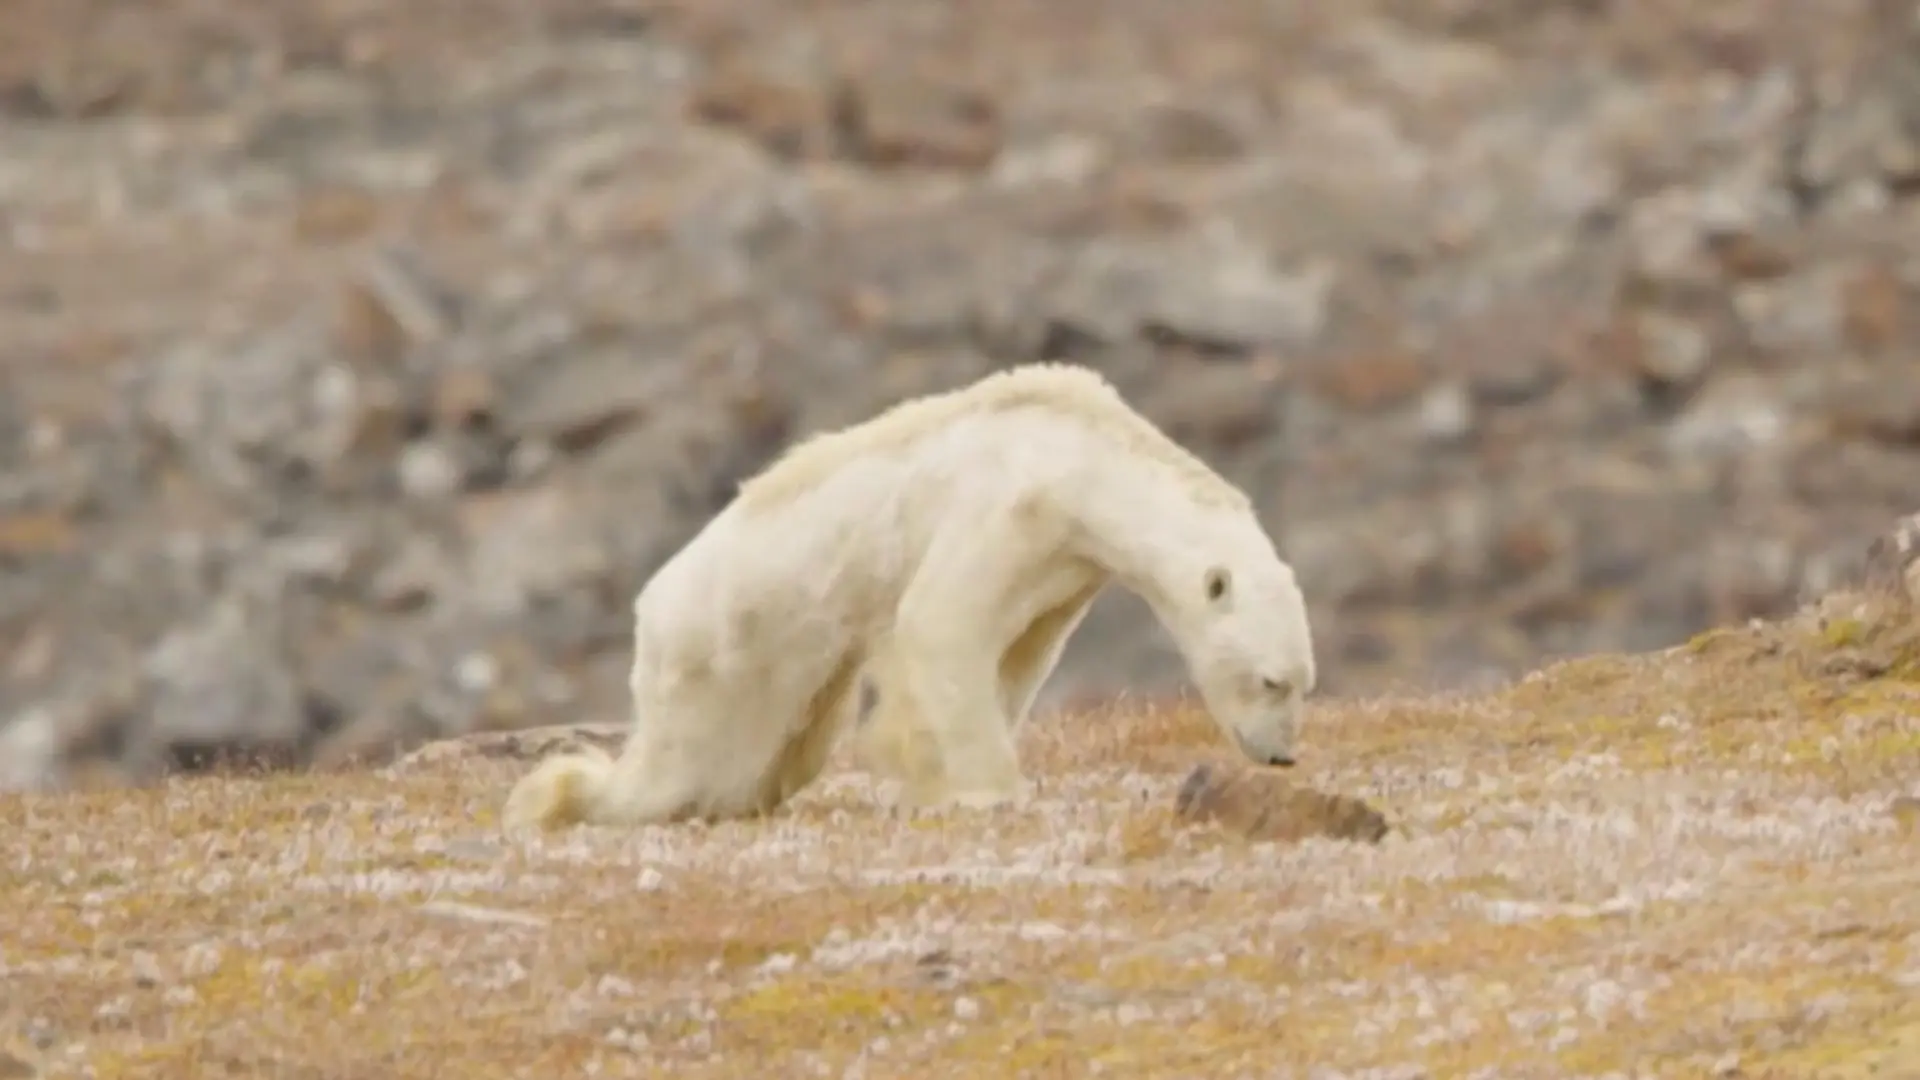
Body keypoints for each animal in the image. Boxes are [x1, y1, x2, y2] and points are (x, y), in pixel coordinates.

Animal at [500, 362, 1317, 830]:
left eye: (1303, 683)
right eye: (1271, 680)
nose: (1281, 757)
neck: (1082, 457)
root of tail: (651, 607)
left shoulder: (1064, 566)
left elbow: (1017, 655)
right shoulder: (1010, 507)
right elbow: (941, 623)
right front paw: (984, 787)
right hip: (726, 651)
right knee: (686, 764)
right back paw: (558, 797)